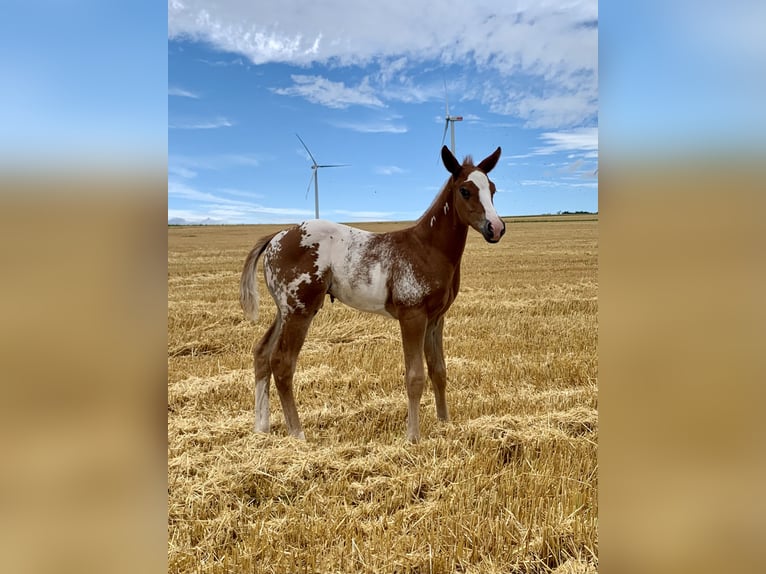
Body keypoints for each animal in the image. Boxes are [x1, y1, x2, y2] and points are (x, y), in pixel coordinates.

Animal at [237, 146, 508, 444]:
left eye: (492, 189)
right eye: (465, 191)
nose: (496, 228)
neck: (426, 248)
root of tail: (277, 236)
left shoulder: (436, 318)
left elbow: (439, 371)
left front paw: (444, 424)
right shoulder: (412, 316)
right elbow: (415, 377)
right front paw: (413, 437)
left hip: (284, 311)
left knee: (261, 354)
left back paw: (261, 428)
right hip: (300, 311)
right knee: (282, 363)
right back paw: (298, 434)